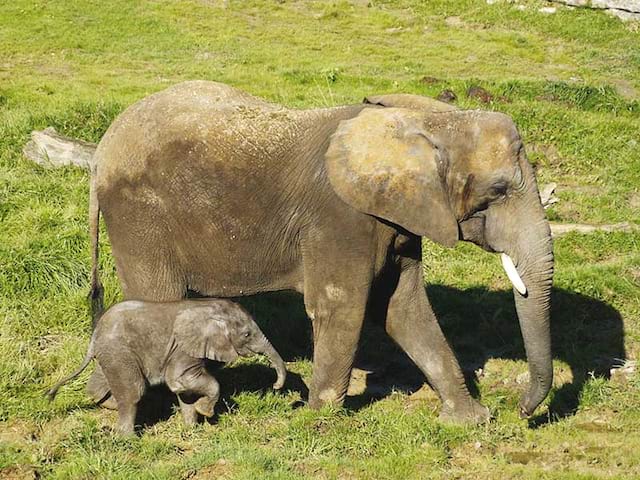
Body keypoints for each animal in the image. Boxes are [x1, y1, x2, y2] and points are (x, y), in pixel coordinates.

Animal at [45, 298, 284, 434]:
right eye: (247, 334)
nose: (275, 386)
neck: (209, 307)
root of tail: (94, 336)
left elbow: (184, 389)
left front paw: (191, 430)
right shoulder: (182, 347)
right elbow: (179, 379)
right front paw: (205, 411)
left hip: (111, 355)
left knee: (99, 385)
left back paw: (109, 404)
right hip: (119, 352)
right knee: (134, 392)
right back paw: (128, 439)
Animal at [87, 82, 552, 424]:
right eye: (498, 191)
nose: (521, 411)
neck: (427, 121)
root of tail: (101, 153)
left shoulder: (396, 218)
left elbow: (403, 306)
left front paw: (470, 421)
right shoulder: (341, 218)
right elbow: (342, 305)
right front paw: (318, 420)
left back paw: (106, 399)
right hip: (139, 216)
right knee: (158, 298)